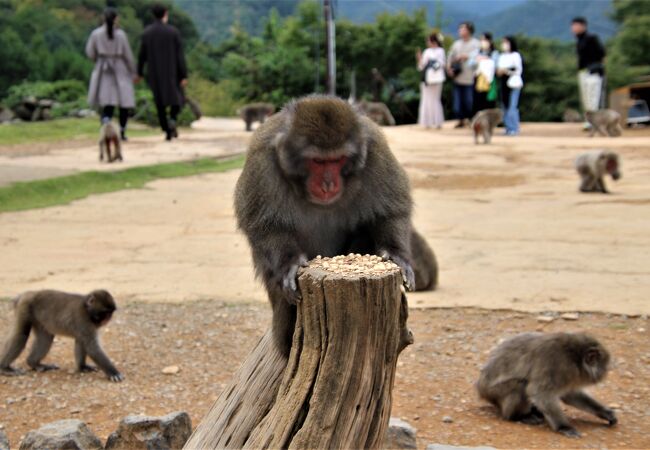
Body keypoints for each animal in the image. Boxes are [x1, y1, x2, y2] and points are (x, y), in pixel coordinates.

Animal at [233, 95, 436, 356]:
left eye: (338, 160)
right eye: (318, 161)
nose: (328, 184)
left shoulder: (376, 149)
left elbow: (390, 211)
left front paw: (396, 255)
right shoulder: (262, 161)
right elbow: (264, 225)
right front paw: (289, 263)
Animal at [478, 332, 616, 438]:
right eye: (604, 366)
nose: (605, 373)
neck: (575, 358)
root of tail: (480, 388)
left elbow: (569, 395)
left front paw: (605, 412)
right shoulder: (559, 365)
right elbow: (540, 393)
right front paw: (563, 427)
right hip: (494, 392)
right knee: (520, 385)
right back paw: (518, 416)